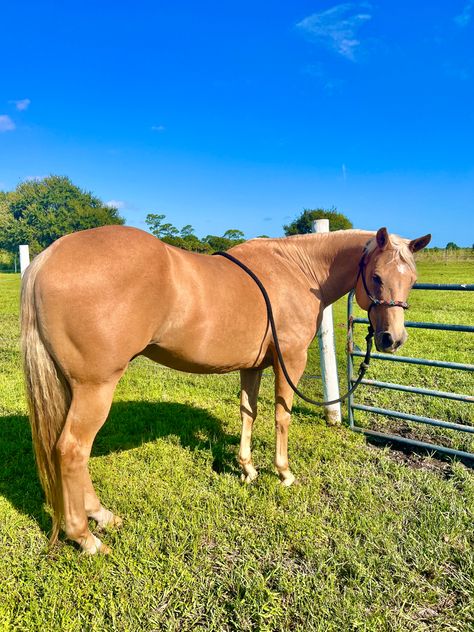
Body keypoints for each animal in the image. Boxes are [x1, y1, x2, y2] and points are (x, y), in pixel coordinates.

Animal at [21, 225, 430, 552]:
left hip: (72, 387)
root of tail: (47, 259)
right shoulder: (290, 361)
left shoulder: (252, 366)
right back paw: (86, 537)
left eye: (411, 279)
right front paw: (283, 473)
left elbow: (248, 412)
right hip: (96, 387)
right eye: (376, 277)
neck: (297, 270)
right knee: (72, 450)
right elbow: (282, 416)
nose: (393, 339)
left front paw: (247, 469)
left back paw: (102, 517)